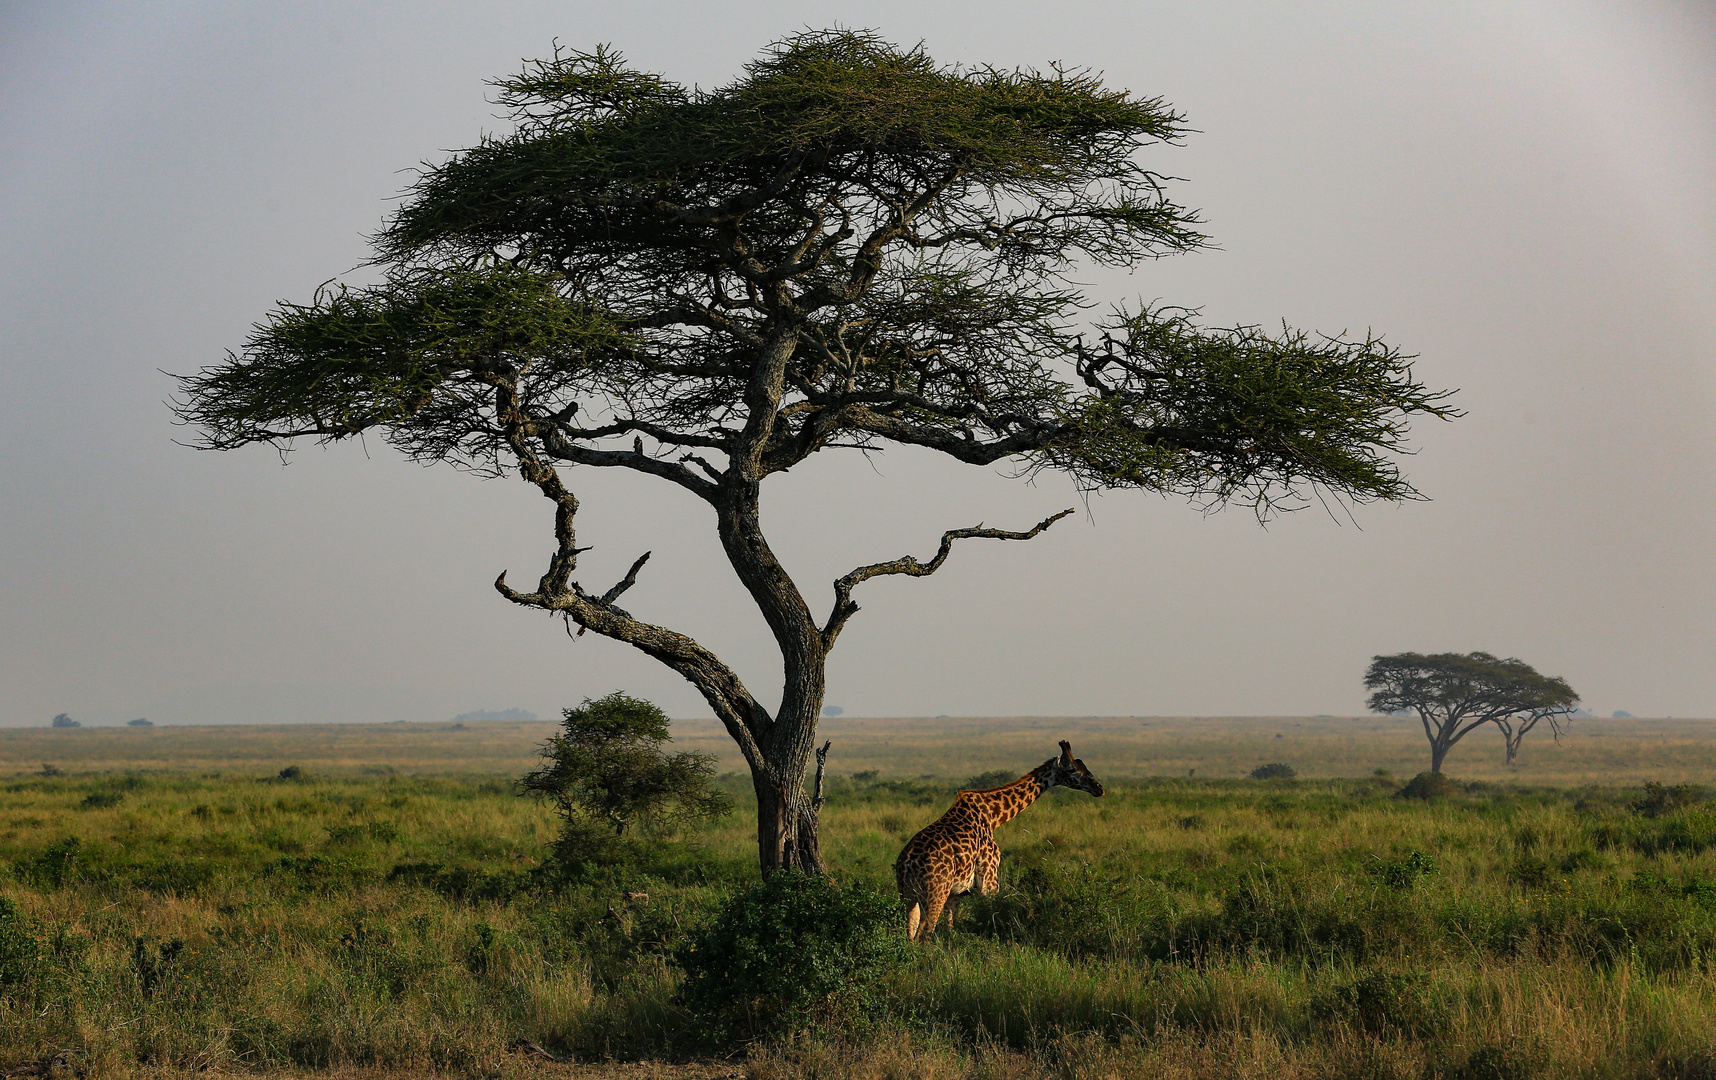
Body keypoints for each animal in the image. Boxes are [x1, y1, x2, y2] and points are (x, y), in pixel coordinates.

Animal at [892, 738, 1105, 940]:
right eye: (1072, 769)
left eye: (1084, 765)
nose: (1099, 788)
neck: (993, 816)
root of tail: (907, 863)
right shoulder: (989, 879)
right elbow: (989, 916)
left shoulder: (956, 892)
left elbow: (950, 928)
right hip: (935, 894)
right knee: (923, 935)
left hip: (908, 896)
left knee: (910, 935)